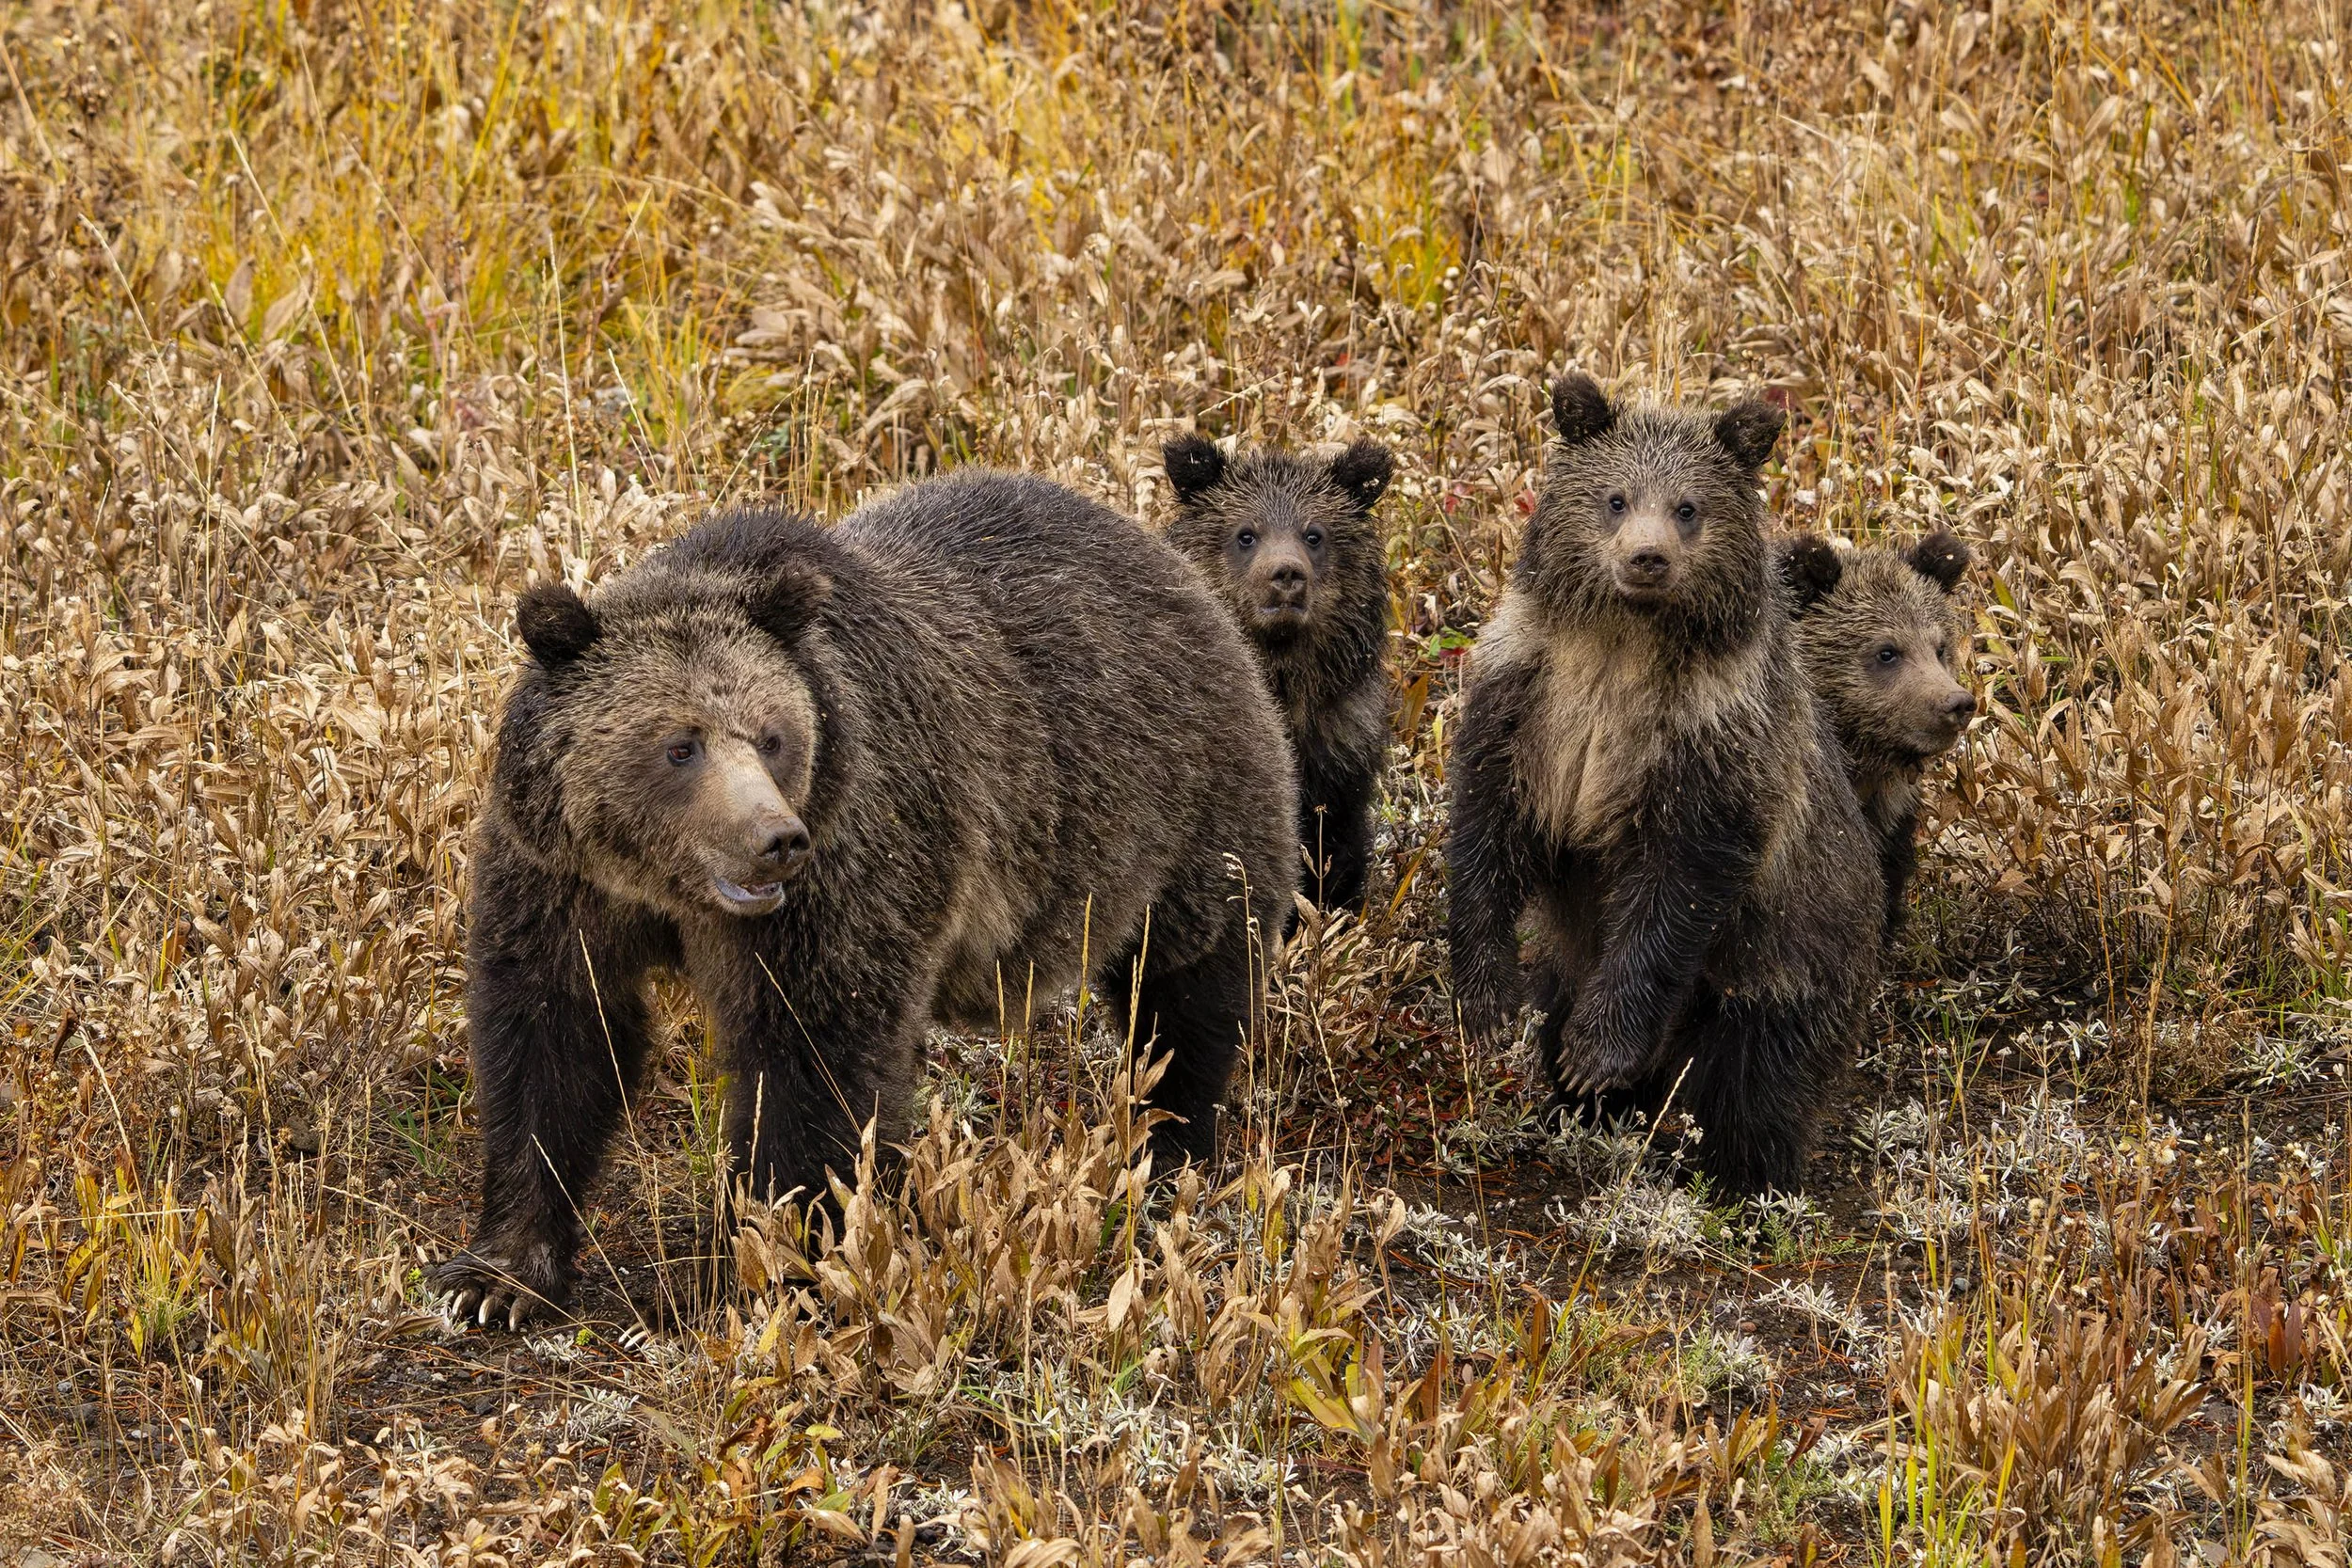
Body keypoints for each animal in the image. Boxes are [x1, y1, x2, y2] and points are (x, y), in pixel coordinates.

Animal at [432, 472, 1298, 1329]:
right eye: (681, 744)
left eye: (772, 735)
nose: (775, 838)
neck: (671, 890)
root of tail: (1178, 574)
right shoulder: (561, 875)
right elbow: (555, 1033)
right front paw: (495, 1276)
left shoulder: (845, 867)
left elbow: (812, 1058)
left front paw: (763, 1266)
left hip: (1187, 805)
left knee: (1187, 988)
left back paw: (1170, 1146)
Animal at [1445, 373, 1883, 1194]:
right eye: (1616, 498)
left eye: (1688, 507)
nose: (1646, 558)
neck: (1622, 647)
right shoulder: (1527, 702)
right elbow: (1488, 831)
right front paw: (1488, 1007)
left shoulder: (1710, 749)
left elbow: (1672, 888)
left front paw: (1595, 1054)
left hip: (1781, 968)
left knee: (1755, 1086)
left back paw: (1745, 1182)